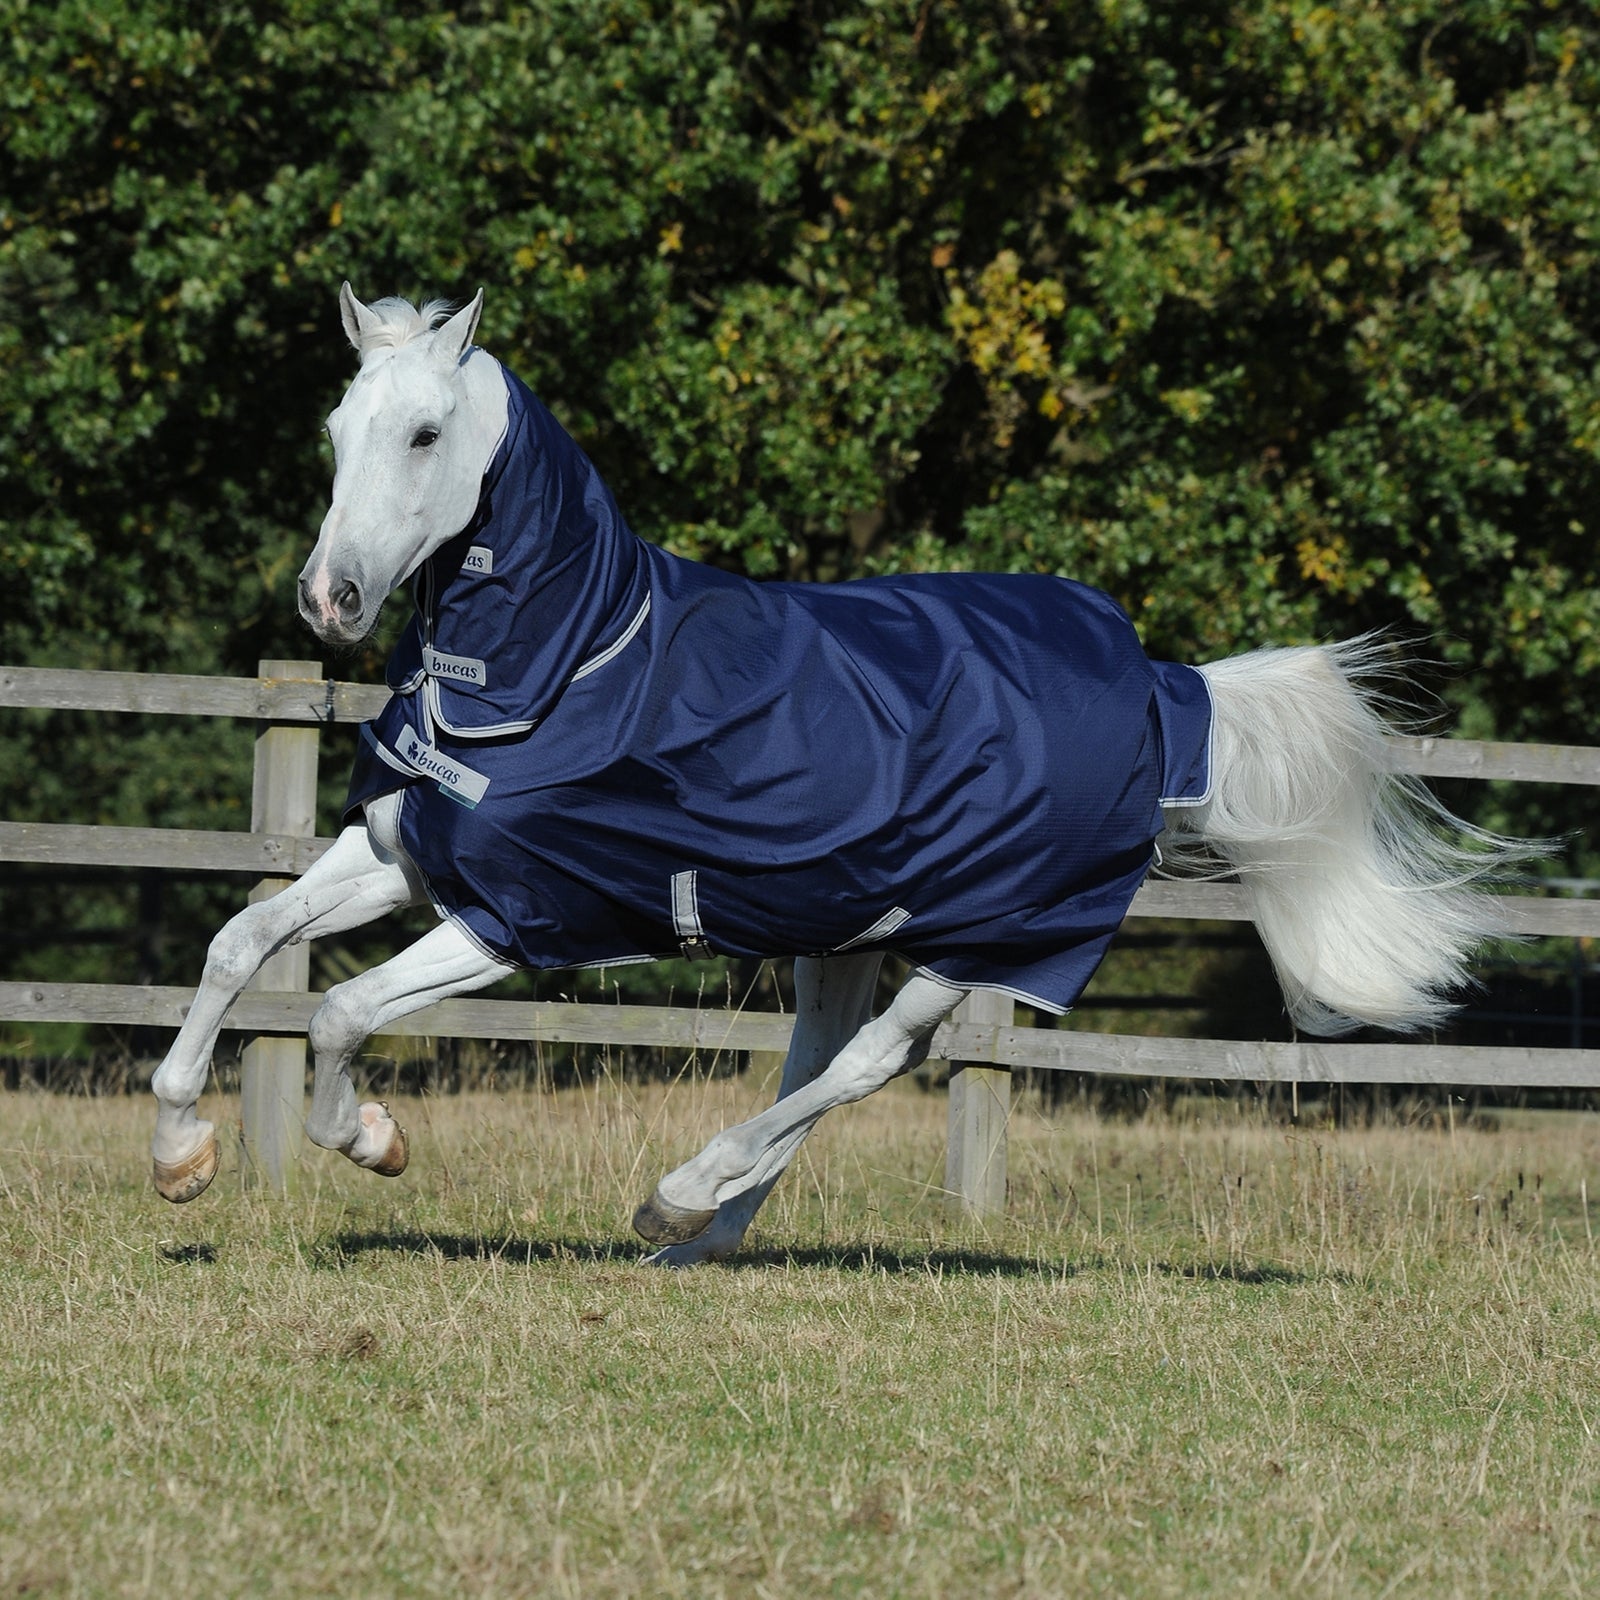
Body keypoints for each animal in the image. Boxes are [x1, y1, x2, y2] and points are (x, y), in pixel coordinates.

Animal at [149, 285, 1522, 1264]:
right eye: (336, 430)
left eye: (427, 432)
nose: (328, 598)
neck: (570, 658)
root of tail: (1160, 685)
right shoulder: (404, 854)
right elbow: (239, 940)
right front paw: (180, 1152)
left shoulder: (518, 919)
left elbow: (338, 1011)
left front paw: (371, 1141)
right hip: (842, 922)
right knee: (817, 1062)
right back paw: (696, 1239)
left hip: (988, 935)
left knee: (868, 1065)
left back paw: (676, 1197)